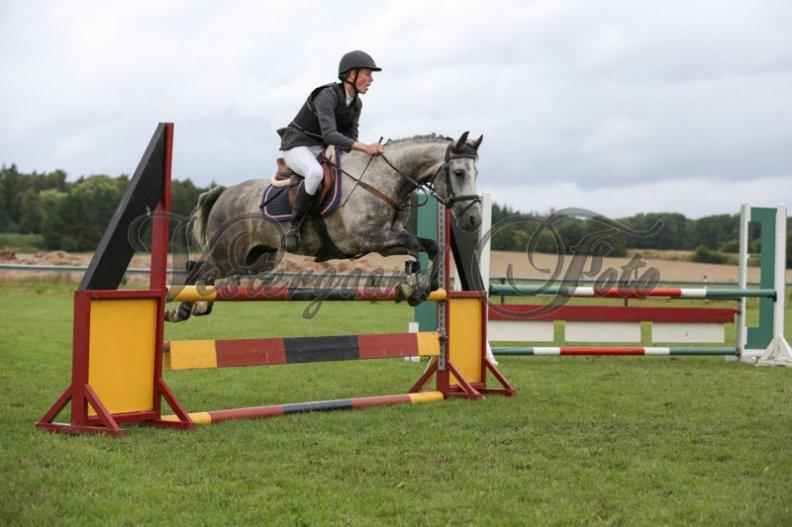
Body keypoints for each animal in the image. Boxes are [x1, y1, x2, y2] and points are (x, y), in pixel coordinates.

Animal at [167, 132, 482, 322]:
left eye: (476, 173)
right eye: (459, 172)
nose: (474, 219)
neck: (383, 181)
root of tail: (225, 192)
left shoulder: (386, 242)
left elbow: (430, 245)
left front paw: (418, 288)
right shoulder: (366, 239)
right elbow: (419, 246)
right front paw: (416, 287)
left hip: (256, 258)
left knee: (208, 272)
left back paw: (195, 306)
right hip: (227, 253)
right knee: (199, 269)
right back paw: (183, 309)